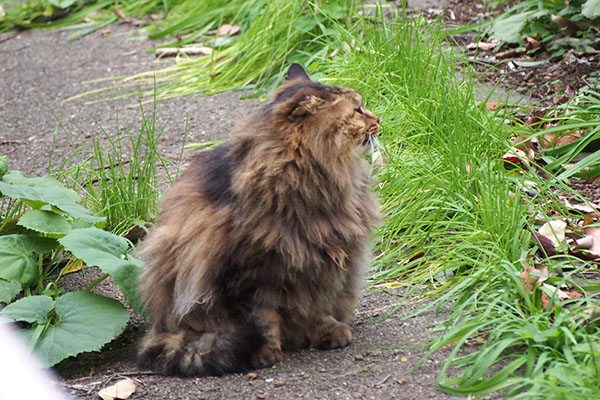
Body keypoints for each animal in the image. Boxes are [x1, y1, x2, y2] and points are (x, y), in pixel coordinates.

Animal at [137, 62, 380, 376]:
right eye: (358, 110)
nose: (379, 118)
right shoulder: (253, 277)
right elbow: (264, 320)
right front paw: (265, 351)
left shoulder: (321, 264)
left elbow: (318, 308)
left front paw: (328, 333)